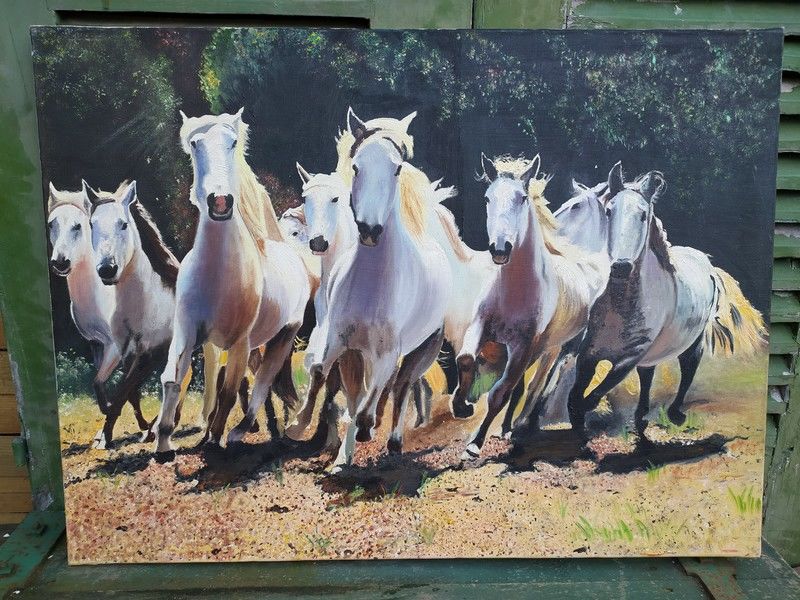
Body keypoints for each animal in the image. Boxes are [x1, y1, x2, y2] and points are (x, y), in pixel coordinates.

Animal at [83, 180, 181, 448]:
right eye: (92, 224)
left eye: (123, 224)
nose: (107, 269)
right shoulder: (122, 349)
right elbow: (119, 389)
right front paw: (138, 426)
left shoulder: (152, 352)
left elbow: (124, 390)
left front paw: (106, 437)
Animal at [155, 109, 312, 452]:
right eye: (194, 144)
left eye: (232, 143)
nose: (220, 202)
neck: (220, 275)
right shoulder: (187, 331)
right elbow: (174, 378)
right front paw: (164, 441)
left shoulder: (241, 342)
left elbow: (230, 391)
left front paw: (215, 441)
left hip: (283, 335)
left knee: (264, 381)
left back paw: (241, 430)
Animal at [307, 107, 451, 469]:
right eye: (357, 165)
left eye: (396, 168)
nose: (370, 230)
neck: (370, 283)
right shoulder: (340, 343)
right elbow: (321, 373)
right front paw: (302, 428)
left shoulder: (386, 354)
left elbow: (369, 402)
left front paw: (367, 429)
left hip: (423, 349)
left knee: (401, 386)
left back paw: (394, 440)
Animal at [451, 154, 608, 459]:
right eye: (487, 198)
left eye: (522, 198)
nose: (500, 249)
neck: (516, 289)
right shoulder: (482, 326)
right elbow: (465, 359)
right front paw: (461, 406)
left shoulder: (524, 344)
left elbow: (499, 393)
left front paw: (474, 445)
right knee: (523, 385)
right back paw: (508, 427)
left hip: (555, 348)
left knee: (539, 384)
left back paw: (523, 426)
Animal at [567, 169, 766, 438]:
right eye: (609, 211)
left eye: (643, 215)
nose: (620, 267)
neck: (620, 310)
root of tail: (707, 263)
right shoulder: (589, 353)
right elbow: (575, 399)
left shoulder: (629, 358)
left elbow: (590, 399)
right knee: (647, 374)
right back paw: (641, 417)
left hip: (693, 341)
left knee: (688, 368)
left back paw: (674, 414)